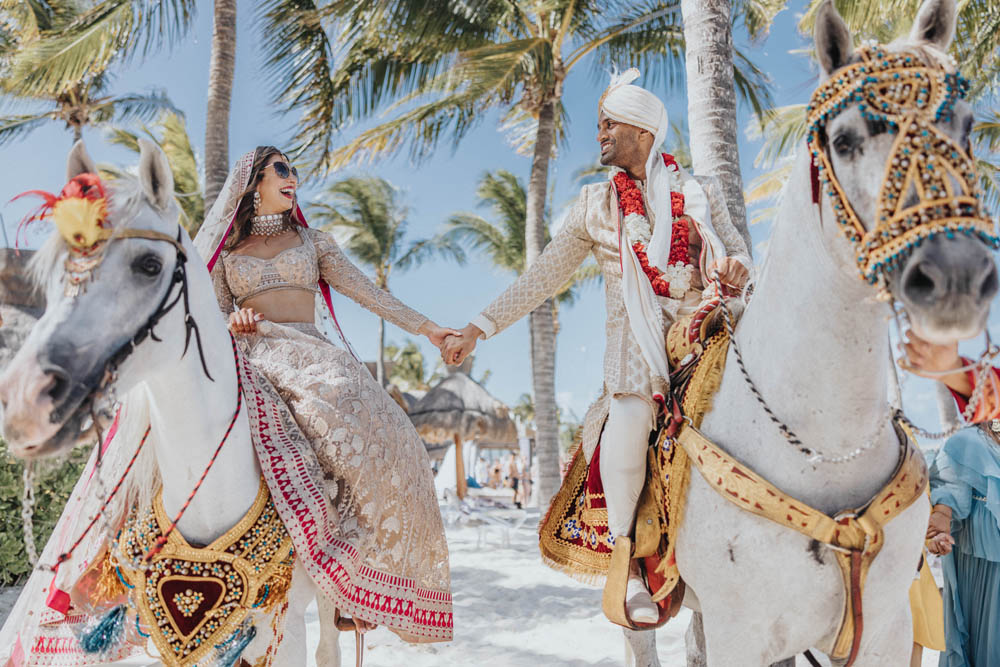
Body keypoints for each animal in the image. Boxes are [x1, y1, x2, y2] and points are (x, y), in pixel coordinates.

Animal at [676, 0, 996, 664]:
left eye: (967, 127)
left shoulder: (885, 632)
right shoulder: (739, 634)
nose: (956, 277)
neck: (824, 446)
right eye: (845, 141)